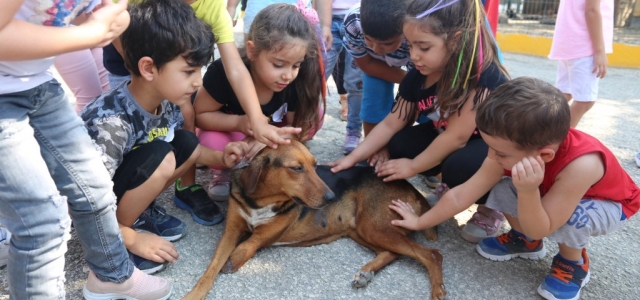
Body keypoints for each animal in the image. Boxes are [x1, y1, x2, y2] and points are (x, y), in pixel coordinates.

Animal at [182, 141, 448, 300]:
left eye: (315, 165)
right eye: (296, 168)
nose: (331, 197)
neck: (262, 200)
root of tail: (409, 186)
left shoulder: (269, 233)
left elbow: (251, 243)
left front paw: (236, 257)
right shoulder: (231, 230)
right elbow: (211, 268)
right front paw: (194, 293)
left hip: (374, 226)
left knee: (432, 254)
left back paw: (437, 289)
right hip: (361, 229)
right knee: (394, 253)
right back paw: (366, 273)